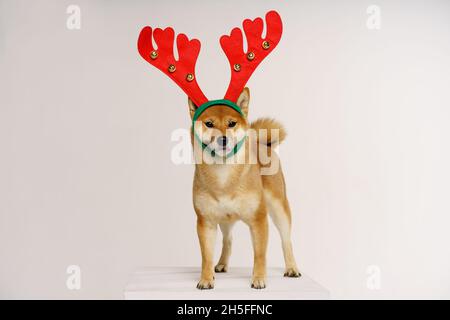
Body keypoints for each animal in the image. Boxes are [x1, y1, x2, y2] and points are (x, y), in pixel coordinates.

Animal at [188, 86, 300, 288]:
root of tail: (263, 144)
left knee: (286, 240)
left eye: (232, 123)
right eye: (209, 124)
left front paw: (259, 278)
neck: (224, 179)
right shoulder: (205, 221)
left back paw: (292, 268)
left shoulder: (258, 219)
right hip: (224, 219)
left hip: (279, 208)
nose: (223, 139)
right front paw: (206, 279)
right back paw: (221, 264)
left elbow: (260, 254)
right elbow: (206, 256)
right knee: (228, 239)